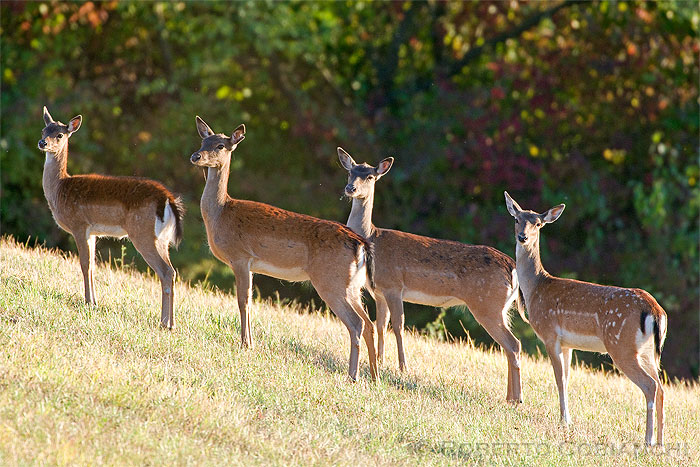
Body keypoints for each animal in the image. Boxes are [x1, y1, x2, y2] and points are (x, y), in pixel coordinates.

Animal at [38, 106, 185, 330]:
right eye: (44, 130)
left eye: (60, 135)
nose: (42, 143)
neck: (59, 189)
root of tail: (167, 198)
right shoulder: (92, 232)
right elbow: (92, 265)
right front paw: (94, 302)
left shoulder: (79, 224)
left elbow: (84, 264)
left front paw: (88, 302)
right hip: (162, 239)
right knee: (172, 271)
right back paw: (171, 323)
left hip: (142, 233)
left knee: (165, 271)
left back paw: (164, 323)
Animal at [190, 115, 378, 382]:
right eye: (203, 141)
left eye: (220, 146)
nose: (196, 156)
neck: (221, 213)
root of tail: (360, 244)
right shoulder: (250, 265)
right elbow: (250, 301)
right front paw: (250, 343)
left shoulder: (240, 257)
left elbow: (242, 301)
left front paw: (244, 344)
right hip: (352, 285)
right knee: (369, 323)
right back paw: (374, 376)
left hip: (330, 280)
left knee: (356, 324)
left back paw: (352, 376)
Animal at [338, 148, 524, 404]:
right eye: (350, 172)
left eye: (370, 176)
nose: (350, 188)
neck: (372, 237)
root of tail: (512, 267)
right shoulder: (379, 291)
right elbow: (380, 325)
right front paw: (381, 361)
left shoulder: (394, 285)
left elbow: (398, 326)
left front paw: (402, 368)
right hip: (502, 308)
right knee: (508, 345)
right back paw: (509, 397)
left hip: (487, 304)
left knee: (514, 344)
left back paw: (517, 399)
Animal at [504, 192, 668, 448]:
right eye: (516, 219)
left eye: (538, 224)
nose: (523, 237)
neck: (536, 289)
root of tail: (655, 311)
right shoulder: (568, 344)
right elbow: (567, 379)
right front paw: (566, 418)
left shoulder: (549, 334)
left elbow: (558, 378)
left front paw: (564, 420)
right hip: (647, 351)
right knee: (660, 387)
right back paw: (660, 442)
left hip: (620, 345)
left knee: (650, 386)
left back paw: (648, 440)